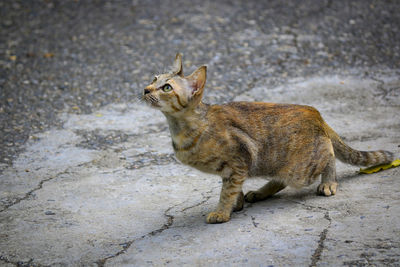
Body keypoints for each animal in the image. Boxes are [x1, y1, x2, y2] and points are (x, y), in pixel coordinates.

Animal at [141, 54, 394, 224]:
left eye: (166, 87)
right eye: (153, 78)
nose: (145, 89)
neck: (181, 128)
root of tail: (315, 112)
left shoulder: (239, 160)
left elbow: (227, 191)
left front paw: (222, 212)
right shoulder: (232, 168)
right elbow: (233, 188)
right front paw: (237, 204)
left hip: (301, 169)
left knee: (329, 153)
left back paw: (329, 182)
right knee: (280, 178)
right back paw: (261, 193)